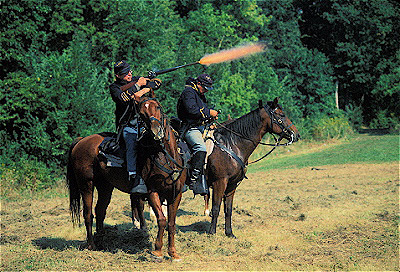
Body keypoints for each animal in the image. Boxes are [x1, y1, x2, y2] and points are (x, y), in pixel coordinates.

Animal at [66, 95, 187, 260]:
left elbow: (171, 223)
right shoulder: (152, 192)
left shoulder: (175, 194)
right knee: (88, 213)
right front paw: (157, 251)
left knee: (100, 210)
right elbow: (162, 220)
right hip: (86, 184)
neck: (165, 157)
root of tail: (81, 140)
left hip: (105, 186)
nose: (156, 131)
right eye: (141, 114)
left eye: (158, 107)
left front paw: (173, 253)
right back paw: (91, 244)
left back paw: (102, 240)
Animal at [203, 98, 300, 238]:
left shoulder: (232, 185)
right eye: (282, 115)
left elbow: (228, 209)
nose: (296, 134)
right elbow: (216, 208)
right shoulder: (219, 182)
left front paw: (229, 233)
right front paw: (212, 233)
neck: (232, 145)